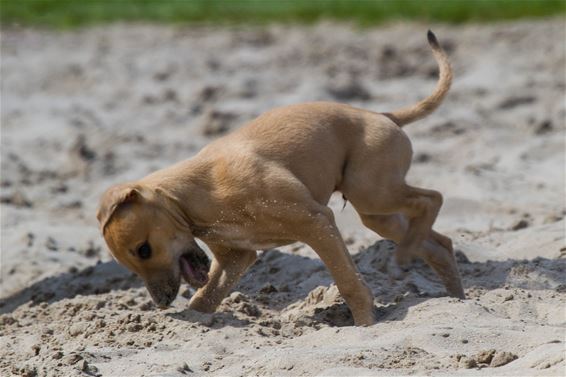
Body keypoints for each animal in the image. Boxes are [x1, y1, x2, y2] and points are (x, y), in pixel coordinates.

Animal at [97, 31, 466, 326]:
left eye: (144, 249)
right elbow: (204, 299)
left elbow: (348, 282)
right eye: (131, 263)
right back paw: (454, 295)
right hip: (378, 213)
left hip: (373, 191)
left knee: (432, 199)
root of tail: (383, 115)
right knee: (439, 242)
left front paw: (365, 325)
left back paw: (407, 258)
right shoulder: (235, 256)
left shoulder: (316, 222)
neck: (196, 193)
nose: (161, 303)